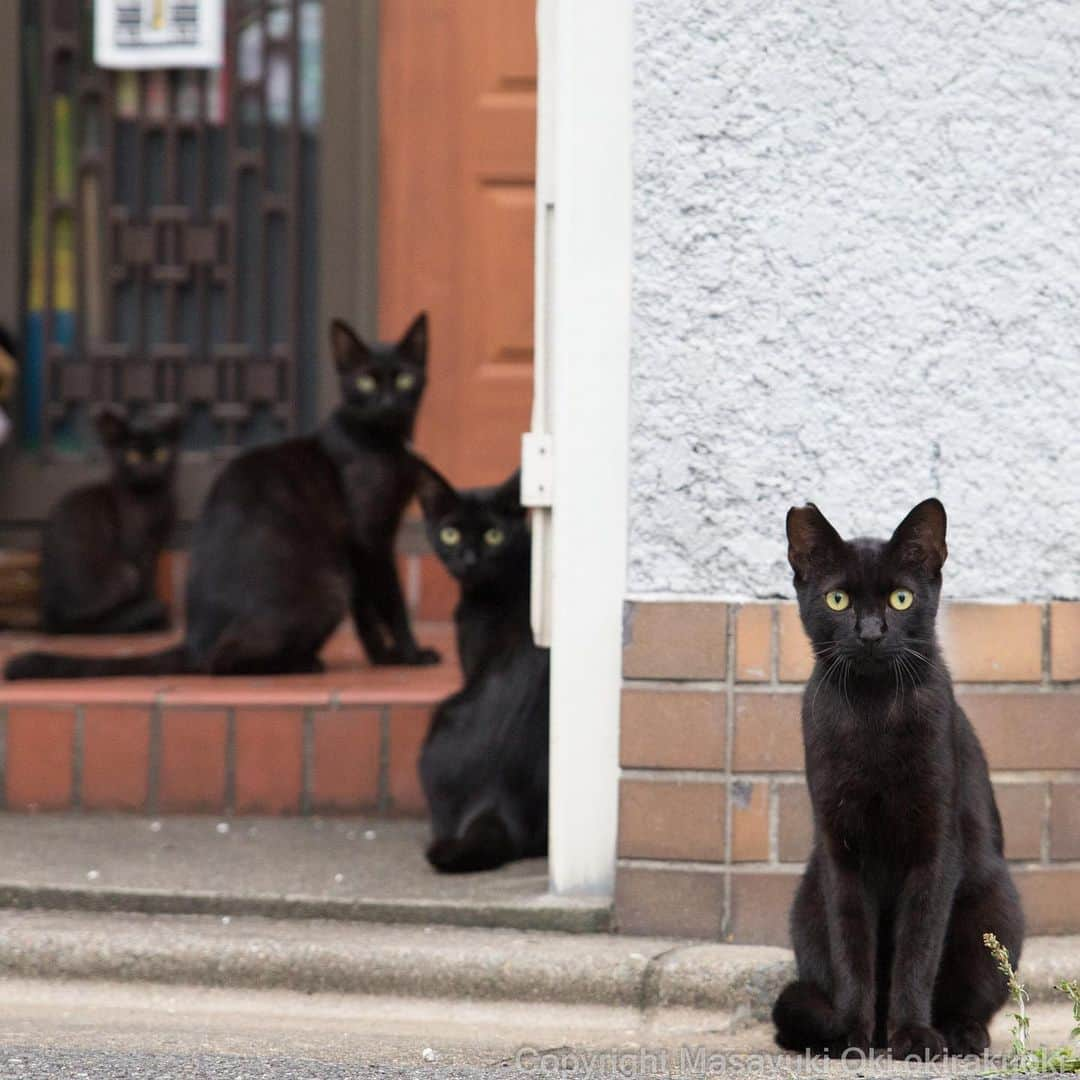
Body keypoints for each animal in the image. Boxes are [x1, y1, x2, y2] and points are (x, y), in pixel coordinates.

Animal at [39, 408, 179, 635]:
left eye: (161, 453)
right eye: (132, 456)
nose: (148, 467)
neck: (149, 501)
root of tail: (52, 621)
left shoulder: (155, 545)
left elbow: (151, 580)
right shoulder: (133, 547)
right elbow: (144, 586)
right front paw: (150, 613)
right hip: (124, 574)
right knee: (97, 621)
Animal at [777, 501, 1019, 1058]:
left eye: (901, 598)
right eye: (838, 599)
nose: (869, 632)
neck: (874, 713)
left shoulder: (936, 847)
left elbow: (917, 950)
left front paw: (912, 1035)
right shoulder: (840, 852)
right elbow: (853, 950)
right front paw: (854, 1034)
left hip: (996, 904)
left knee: (972, 994)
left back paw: (959, 1032)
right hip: (806, 901)